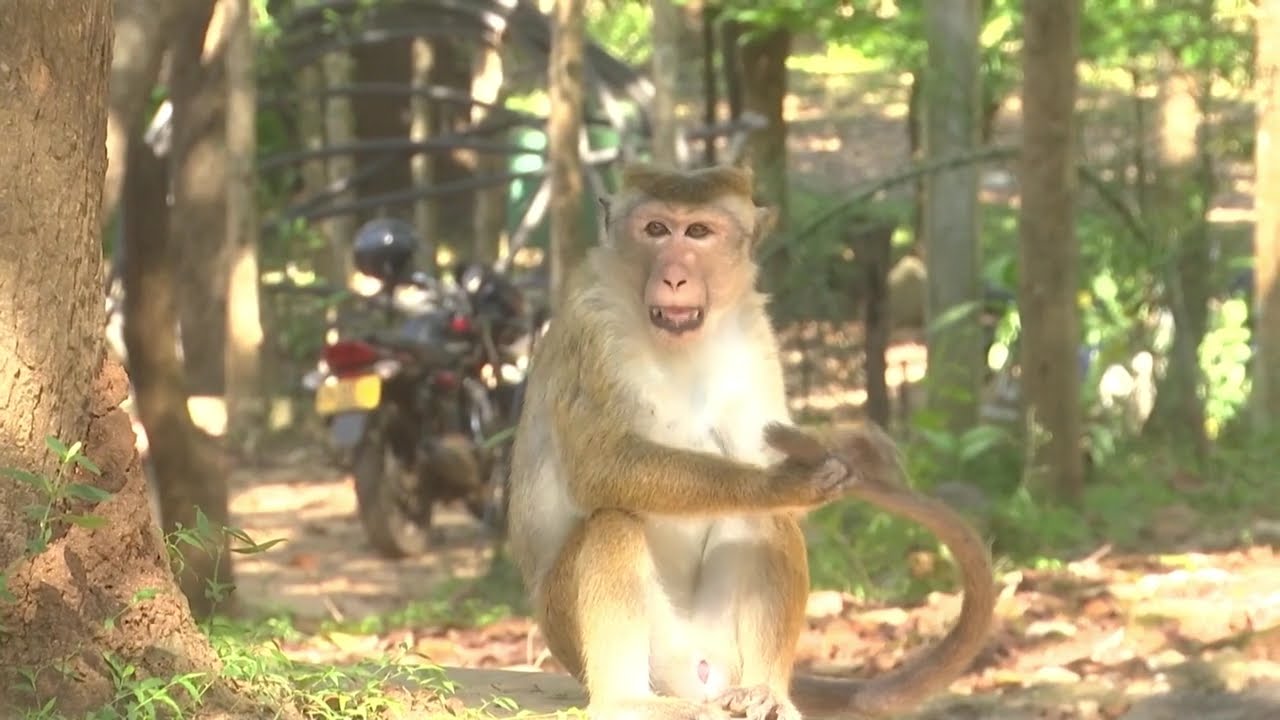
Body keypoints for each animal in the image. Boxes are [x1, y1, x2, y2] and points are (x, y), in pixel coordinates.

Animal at [505, 162, 997, 720]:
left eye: (698, 231)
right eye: (656, 229)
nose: (674, 276)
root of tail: (695, 676)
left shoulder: (753, 331)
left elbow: (762, 459)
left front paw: (854, 448)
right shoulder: (591, 324)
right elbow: (599, 466)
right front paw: (779, 482)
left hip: (719, 648)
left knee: (765, 523)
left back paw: (767, 689)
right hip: (587, 631)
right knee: (614, 521)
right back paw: (626, 699)